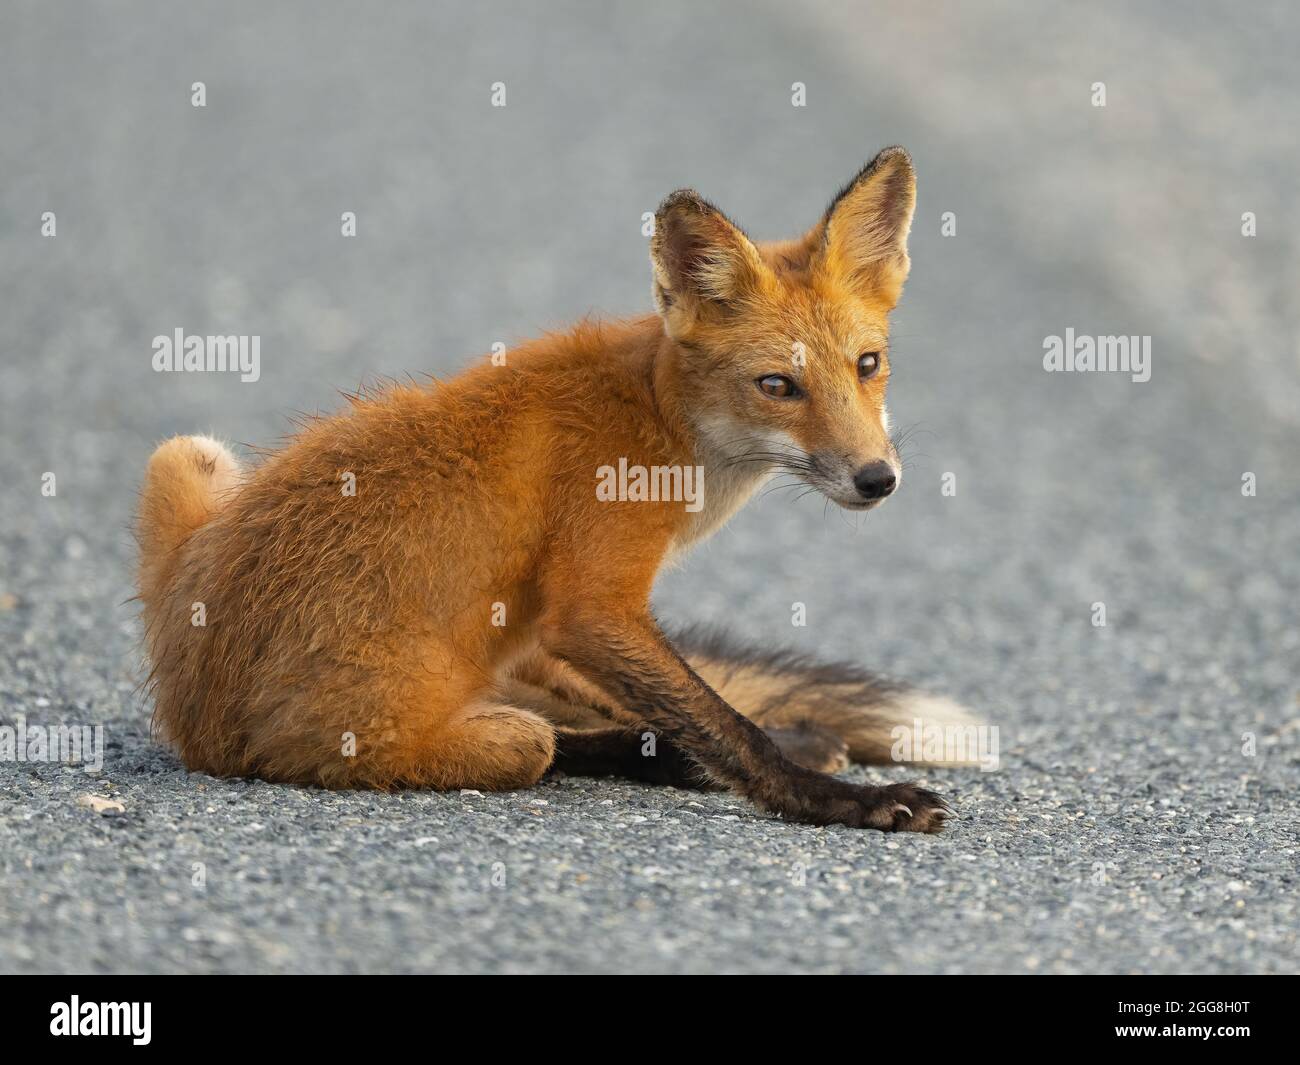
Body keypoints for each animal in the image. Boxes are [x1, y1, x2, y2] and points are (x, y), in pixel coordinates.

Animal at [136, 146, 979, 832]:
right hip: (465, 735)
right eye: (778, 385)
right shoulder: (592, 604)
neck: (659, 415)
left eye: (868, 365)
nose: (878, 478)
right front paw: (839, 800)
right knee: (548, 740)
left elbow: (704, 707)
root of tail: (195, 715)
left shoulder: (563, 623)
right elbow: (723, 725)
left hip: (187, 457)